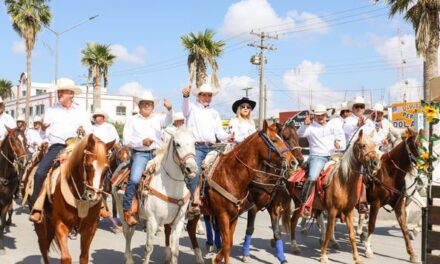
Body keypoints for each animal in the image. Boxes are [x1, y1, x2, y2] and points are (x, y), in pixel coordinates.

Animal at [34, 134, 113, 264]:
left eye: (106, 170)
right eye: (87, 166)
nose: (93, 196)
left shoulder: (90, 228)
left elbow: (84, 256)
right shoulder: (61, 224)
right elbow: (66, 258)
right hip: (42, 223)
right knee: (43, 246)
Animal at [113, 126, 198, 264]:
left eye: (194, 143)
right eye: (177, 144)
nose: (192, 169)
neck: (171, 187)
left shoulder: (178, 221)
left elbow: (175, 251)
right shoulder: (153, 221)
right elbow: (149, 248)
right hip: (123, 212)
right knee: (128, 234)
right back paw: (129, 259)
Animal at [362, 128, 422, 262]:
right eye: (417, 144)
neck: (389, 173)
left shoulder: (398, 204)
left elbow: (404, 228)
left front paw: (412, 254)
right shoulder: (375, 203)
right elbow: (371, 225)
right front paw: (368, 250)